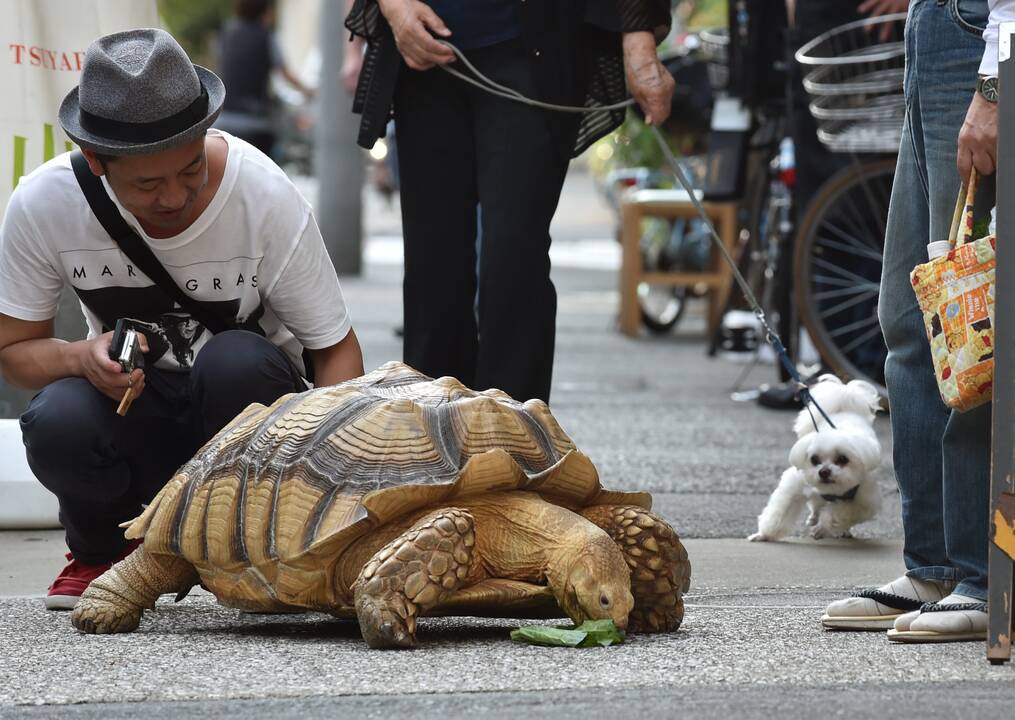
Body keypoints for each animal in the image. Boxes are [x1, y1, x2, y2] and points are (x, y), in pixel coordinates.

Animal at [747, 375, 881, 540]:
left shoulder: (863, 502)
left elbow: (838, 514)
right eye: (814, 459)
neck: (831, 492)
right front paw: (764, 535)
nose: (824, 472)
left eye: (843, 459)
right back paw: (814, 517)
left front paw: (823, 528)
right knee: (816, 503)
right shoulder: (794, 487)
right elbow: (779, 513)